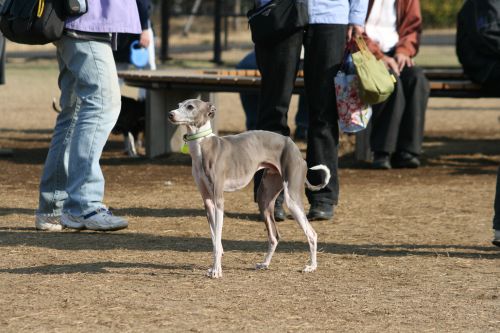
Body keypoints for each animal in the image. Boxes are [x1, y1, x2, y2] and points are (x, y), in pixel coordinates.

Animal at [170, 98, 330, 278]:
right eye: (179, 105)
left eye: (190, 107)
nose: (170, 114)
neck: (203, 145)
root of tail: (294, 147)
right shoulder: (208, 202)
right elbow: (215, 239)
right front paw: (214, 267)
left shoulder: (219, 201)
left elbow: (217, 237)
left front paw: (217, 271)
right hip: (264, 199)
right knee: (274, 236)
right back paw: (265, 263)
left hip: (292, 198)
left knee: (312, 234)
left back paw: (311, 266)